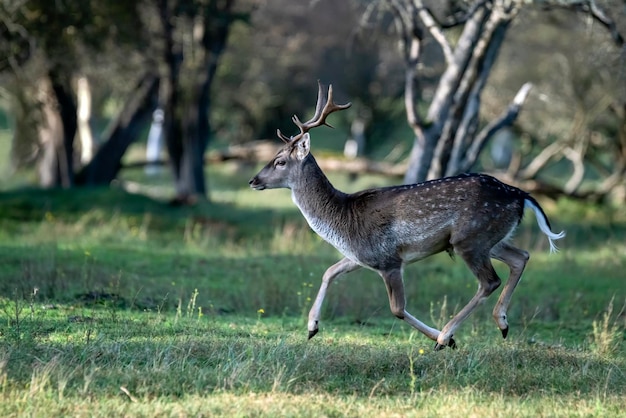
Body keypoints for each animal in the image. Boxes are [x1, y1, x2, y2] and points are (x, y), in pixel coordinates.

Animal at [249, 81, 564, 350]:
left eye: (280, 161)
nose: (253, 180)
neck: (342, 219)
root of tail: (520, 194)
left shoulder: (389, 259)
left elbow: (397, 309)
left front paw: (445, 340)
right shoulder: (361, 256)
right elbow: (329, 272)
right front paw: (312, 327)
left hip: (469, 238)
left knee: (490, 280)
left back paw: (447, 335)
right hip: (492, 238)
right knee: (521, 257)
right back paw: (502, 323)